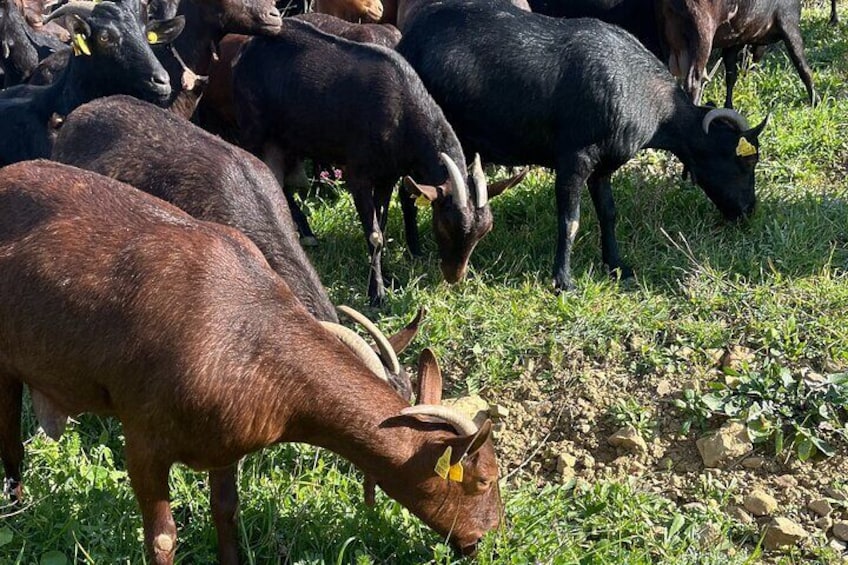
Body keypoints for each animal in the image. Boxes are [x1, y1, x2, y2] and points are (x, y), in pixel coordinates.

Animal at [0, 159, 500, 564]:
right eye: (482, 480)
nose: (487, 537)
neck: (246, 332)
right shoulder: (142, 438)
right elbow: (161, 539)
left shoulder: (224, 445)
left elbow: (226, 511)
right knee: (10, 439)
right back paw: (16, 507)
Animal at [400, 0, 768, 290]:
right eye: (743, 162)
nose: (749, 210)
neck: (647, 99)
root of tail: (408, 38)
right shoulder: (575, 159)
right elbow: (570, 221)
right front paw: (563, 280)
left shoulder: (603, 167)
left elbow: (609, 213)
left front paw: (616, 264)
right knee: (408, 190)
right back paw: (414, 252)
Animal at [656, 0, 816, 107]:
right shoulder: (789, 22)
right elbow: (803, 67)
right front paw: (816, 102)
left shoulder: (733, 42)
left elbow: (731, 76)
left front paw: (729, 106)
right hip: (702, 36)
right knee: (692, 82)